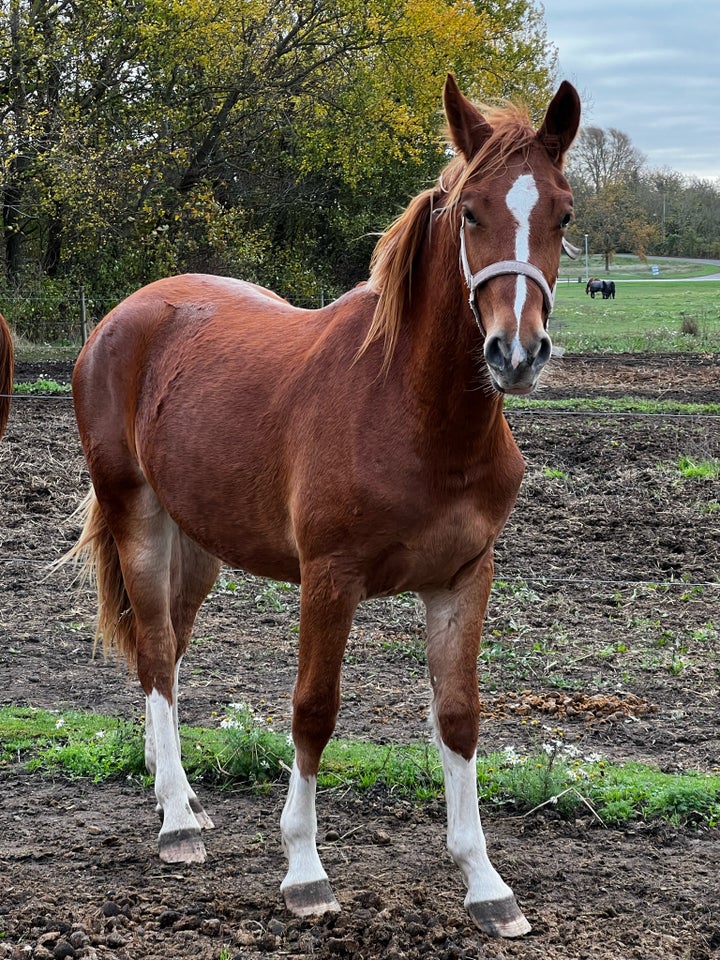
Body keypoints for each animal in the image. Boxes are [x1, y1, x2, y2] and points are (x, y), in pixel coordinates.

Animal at [69, 75, 580, 936]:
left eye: (562, 214)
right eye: (471, 212)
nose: (516, 353)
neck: (415, 413)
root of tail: (122, 317)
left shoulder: (465, 578)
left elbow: (459, 717)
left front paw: (485, 883)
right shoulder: (329, 578)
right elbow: (313, 711)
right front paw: (305, 871)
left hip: (196, 542)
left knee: (165, 648)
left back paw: (183, 800)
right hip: (136, 515)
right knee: (156, 655)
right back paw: (175, 824)